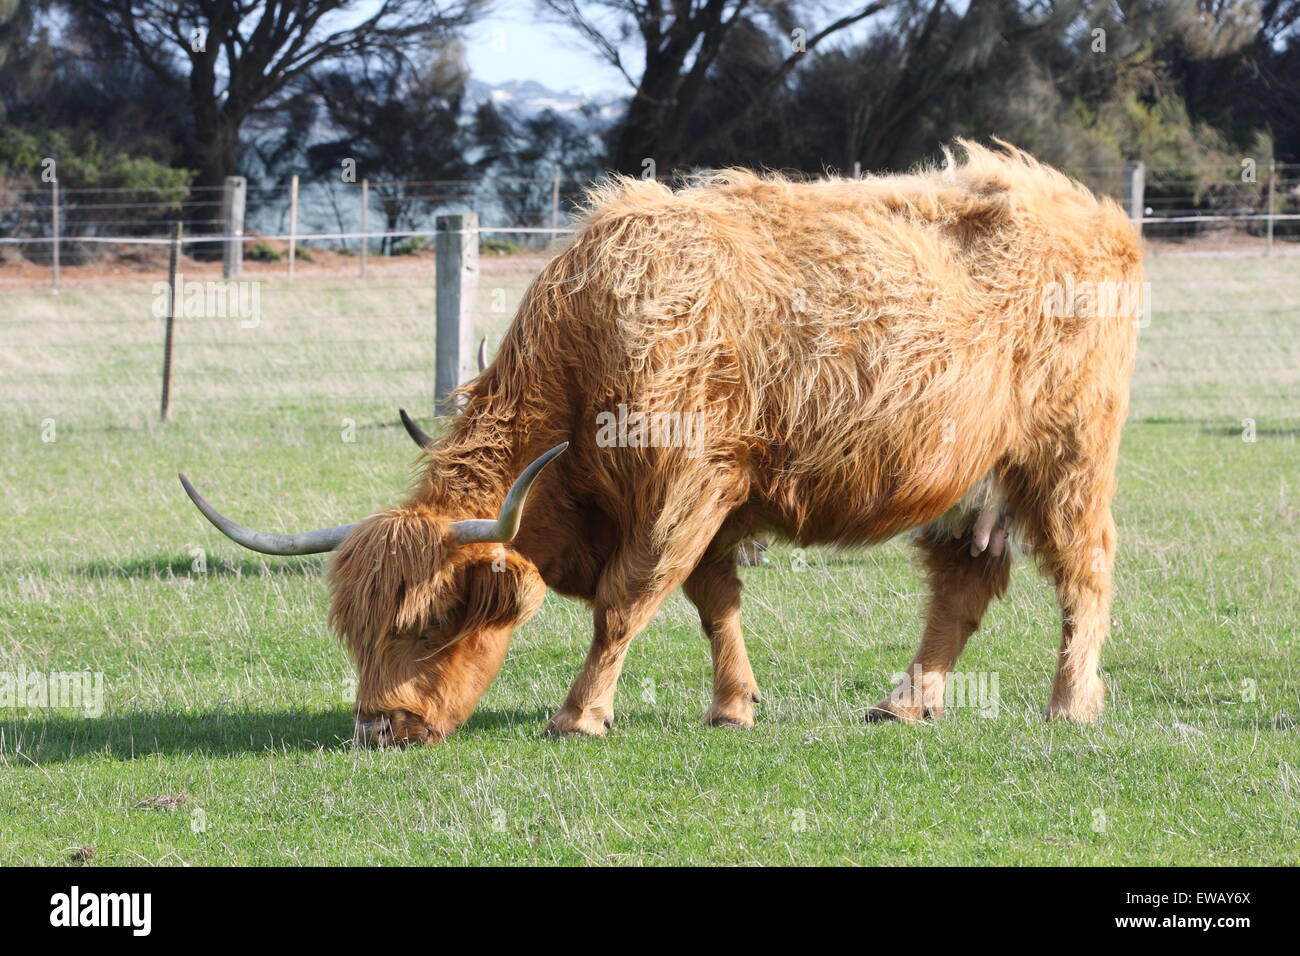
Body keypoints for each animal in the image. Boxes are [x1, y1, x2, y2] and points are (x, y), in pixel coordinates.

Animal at [180, 141, 1138, 743]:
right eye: (357, 630)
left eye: (432, 622)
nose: (381, 728)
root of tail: (1095, 211)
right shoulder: (709, 505)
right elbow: (715, 603)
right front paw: (733, 705)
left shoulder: (687, 491)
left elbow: (626, 603)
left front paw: (578, 715)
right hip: (971, 478)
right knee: (962, 588)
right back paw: (906, 702)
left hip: (1067, 455)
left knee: (1085, 570)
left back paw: (1069, 703)